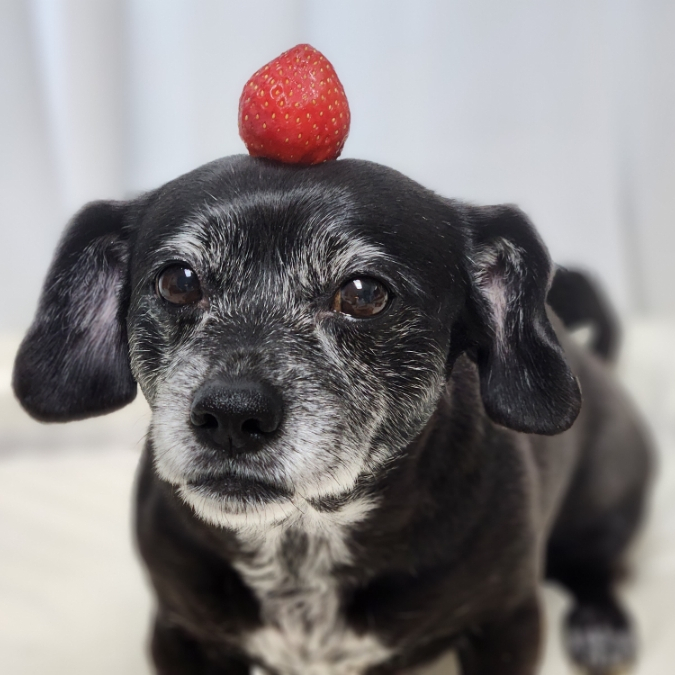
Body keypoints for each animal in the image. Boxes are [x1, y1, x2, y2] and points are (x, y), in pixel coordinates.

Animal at [14, 154, 648, 675]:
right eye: (178, 281)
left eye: (365, 294)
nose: (231, 416)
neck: (301, 543)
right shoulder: (179, 635)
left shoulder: (508, 622)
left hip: (601, 507)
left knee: (597, 567)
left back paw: (601, 626)